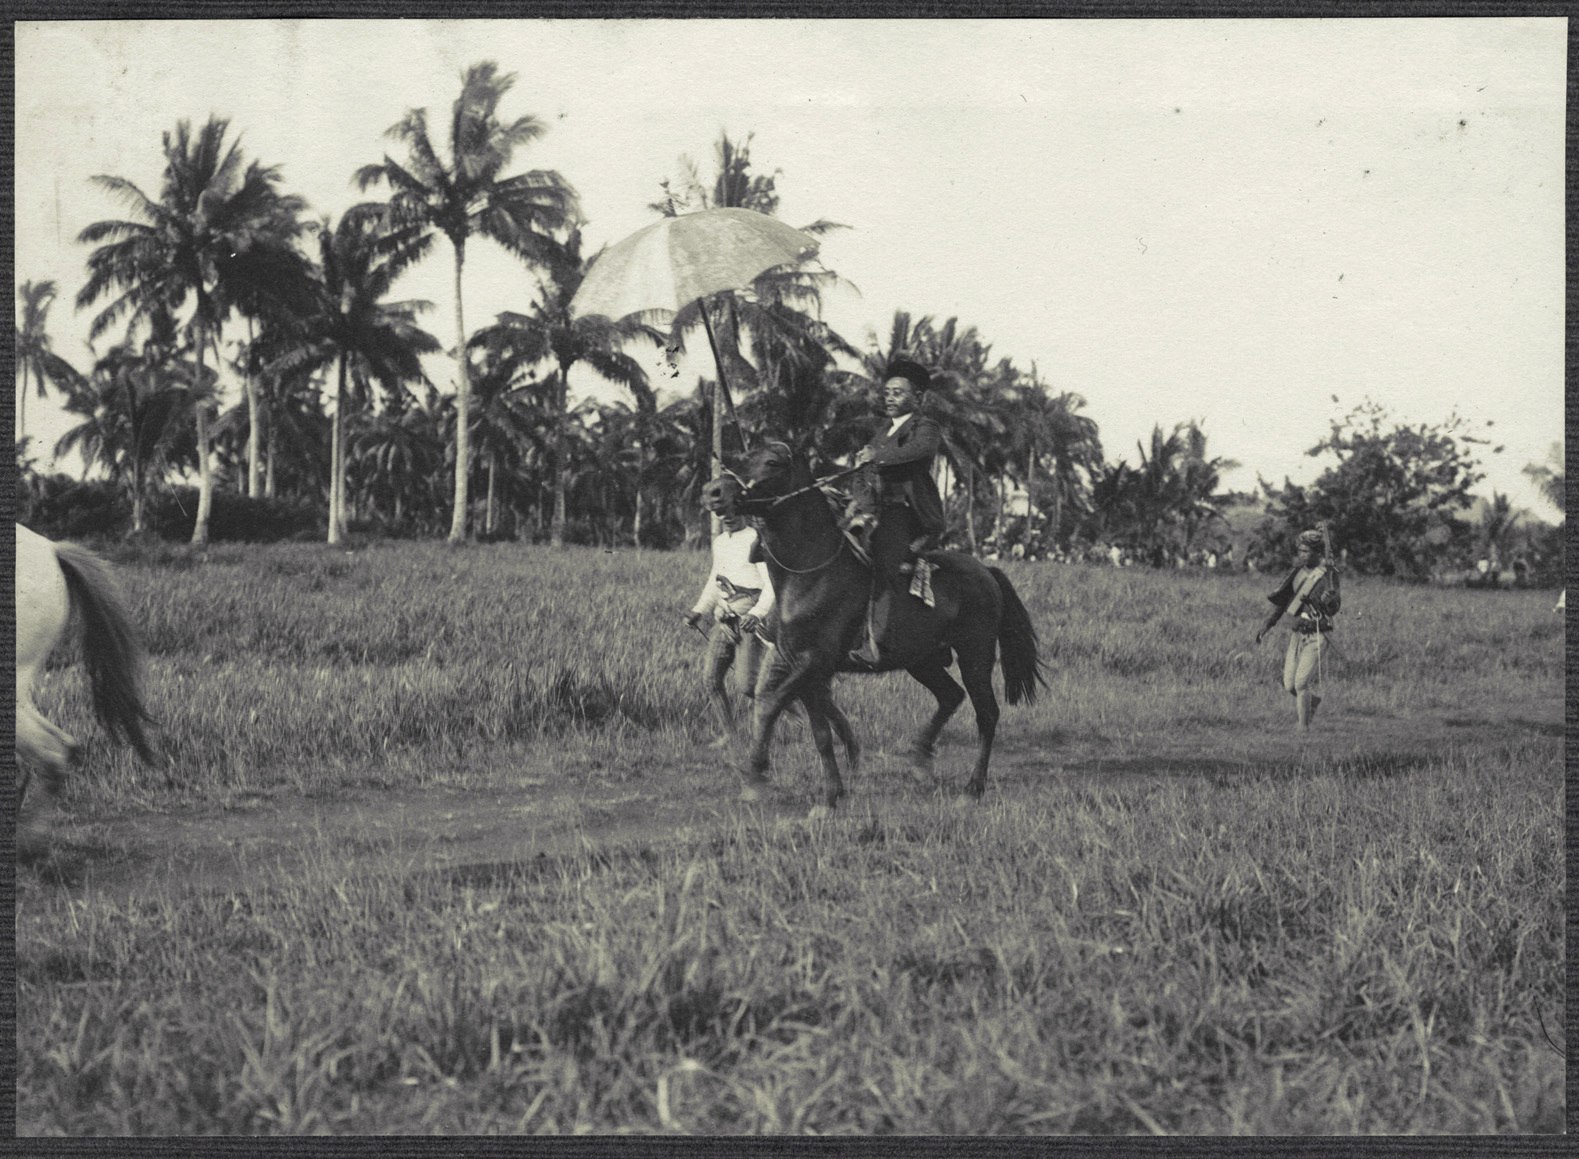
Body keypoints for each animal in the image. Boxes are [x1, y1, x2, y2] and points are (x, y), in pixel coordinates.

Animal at [720, 445, 1048, 814]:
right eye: (745, 455)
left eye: (772, 463)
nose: (715, 491)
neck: (811, 573)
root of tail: (987, 572)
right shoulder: (805, 670)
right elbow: (820, 734)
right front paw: (830, 797)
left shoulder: (812, 663)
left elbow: (770, 704)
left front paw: (756, 778)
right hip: (922, 660)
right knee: (951, 695)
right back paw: (920, 760)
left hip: (974, 655)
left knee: (986, 714)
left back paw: (972, 788)